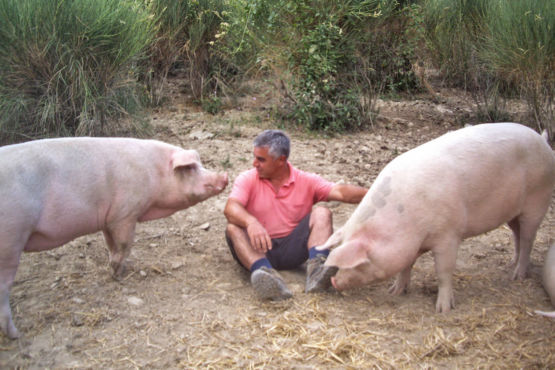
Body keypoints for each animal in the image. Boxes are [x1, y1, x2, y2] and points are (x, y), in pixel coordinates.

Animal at [0, 137, 227, 338]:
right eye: (191, 168)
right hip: (11, 237)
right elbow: (125, 244)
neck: (155, 175)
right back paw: (16, 335)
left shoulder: (108, 219)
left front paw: (114, 268)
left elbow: (110, 244)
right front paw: (118, 275)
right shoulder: (125, 214)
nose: (224, 176)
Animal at [314, 123, 552, 312]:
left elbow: (444, 271)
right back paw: (510, 264)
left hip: (537, 200)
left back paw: (516, 276)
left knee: (528, 238)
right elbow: (406, 266)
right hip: (514, 212)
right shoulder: (411, 245)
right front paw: (395, 291)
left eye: (360, 263)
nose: (334, 281)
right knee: (517, 235)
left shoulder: (449, 235)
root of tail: (542, 140)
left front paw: (443, 309)